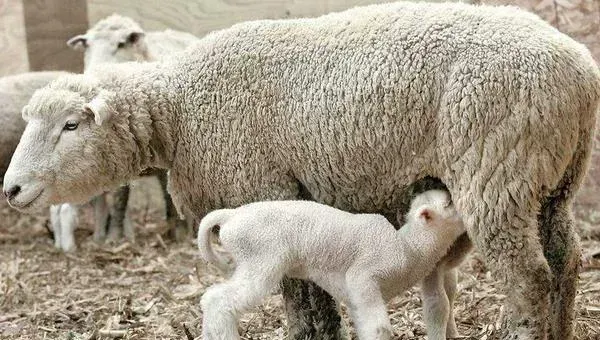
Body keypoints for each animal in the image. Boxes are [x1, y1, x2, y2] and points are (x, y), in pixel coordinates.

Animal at [197, 191, 464, 340]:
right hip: (261, 258)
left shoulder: (356, 297)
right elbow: (379, 329)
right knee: (218, 301)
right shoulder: (363, 276)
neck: (408, 248)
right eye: (450, 202)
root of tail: (231, 216)